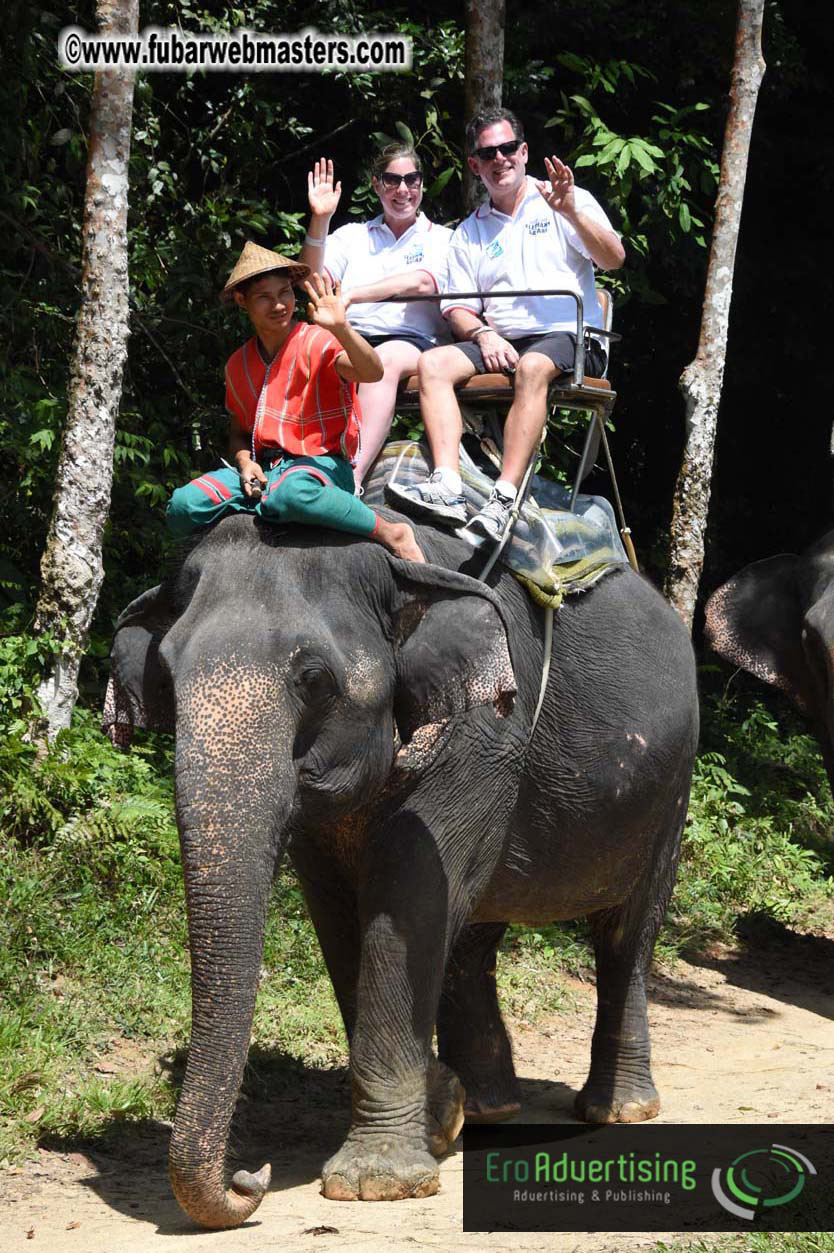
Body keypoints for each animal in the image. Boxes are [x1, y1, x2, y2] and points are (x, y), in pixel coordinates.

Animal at [107, 508, 698, 1230]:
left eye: (314, 679)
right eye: (167, 674)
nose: (250, 1178)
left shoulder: (485, 731)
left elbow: (408, 893)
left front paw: (376, 1181)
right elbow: (340, 914)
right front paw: (440, 1114)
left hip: (671, 788)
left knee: (625, 935)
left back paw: (618, 1109)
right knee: (475, 938)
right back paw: (489, 1105)